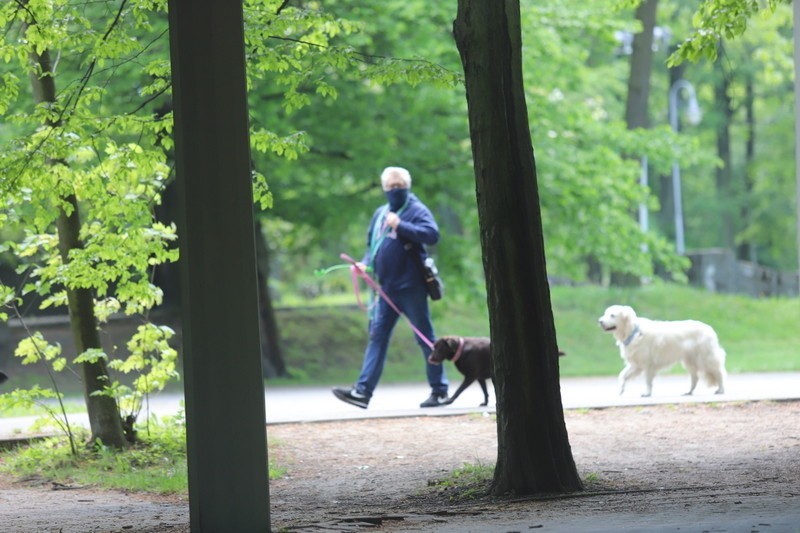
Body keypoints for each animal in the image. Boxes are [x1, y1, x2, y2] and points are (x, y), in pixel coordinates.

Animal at [596, 306, 728, 396]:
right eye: (605, 314)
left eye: (612, 315)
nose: (600, 321)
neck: (633, 331)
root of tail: (710, 329)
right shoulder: (636, 365)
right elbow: (622, 375)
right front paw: (621, 389)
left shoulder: (648, 364)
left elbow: (647, 381)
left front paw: (647, 393)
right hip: (690, 361)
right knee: (695, 378)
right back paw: (689, 392)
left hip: (705, 358)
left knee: (718, 372)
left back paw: (721, 389)